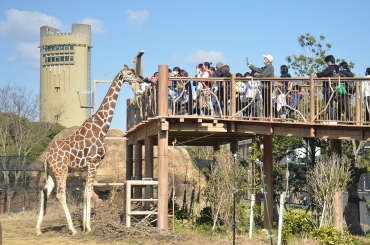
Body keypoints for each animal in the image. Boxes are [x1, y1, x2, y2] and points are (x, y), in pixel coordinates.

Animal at [36, 65, 142, 235]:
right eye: (129, 73)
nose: (141, 79)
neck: (101, 127)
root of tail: (46, 157)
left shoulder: (89, 165)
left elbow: (87, 191)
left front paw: (86, 225)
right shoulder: (94, 162)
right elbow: (88, 192)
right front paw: (88, 227)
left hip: (52, 172)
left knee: (44, 191)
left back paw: (39, 229)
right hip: (62, 170)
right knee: (60, 194)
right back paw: (72, 229)